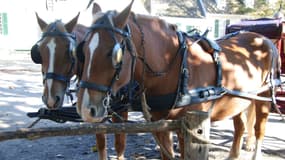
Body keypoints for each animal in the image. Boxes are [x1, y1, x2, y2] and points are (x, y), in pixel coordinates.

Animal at [31, 11, 127, 160]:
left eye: (69, 52)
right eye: (38, 53)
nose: (51, 99)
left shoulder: (122, 108)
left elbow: (120, 143)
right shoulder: (95, 110)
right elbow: (101, 143)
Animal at [75, 0, 280, 159]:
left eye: (115, 54)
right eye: (83, 51)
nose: (85, 108)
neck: (177, 69)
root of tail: (262, 38)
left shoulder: (190, 129)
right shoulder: (161, 124)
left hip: (264, 96)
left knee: (259, 129)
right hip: (238, 99)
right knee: (240, 126)